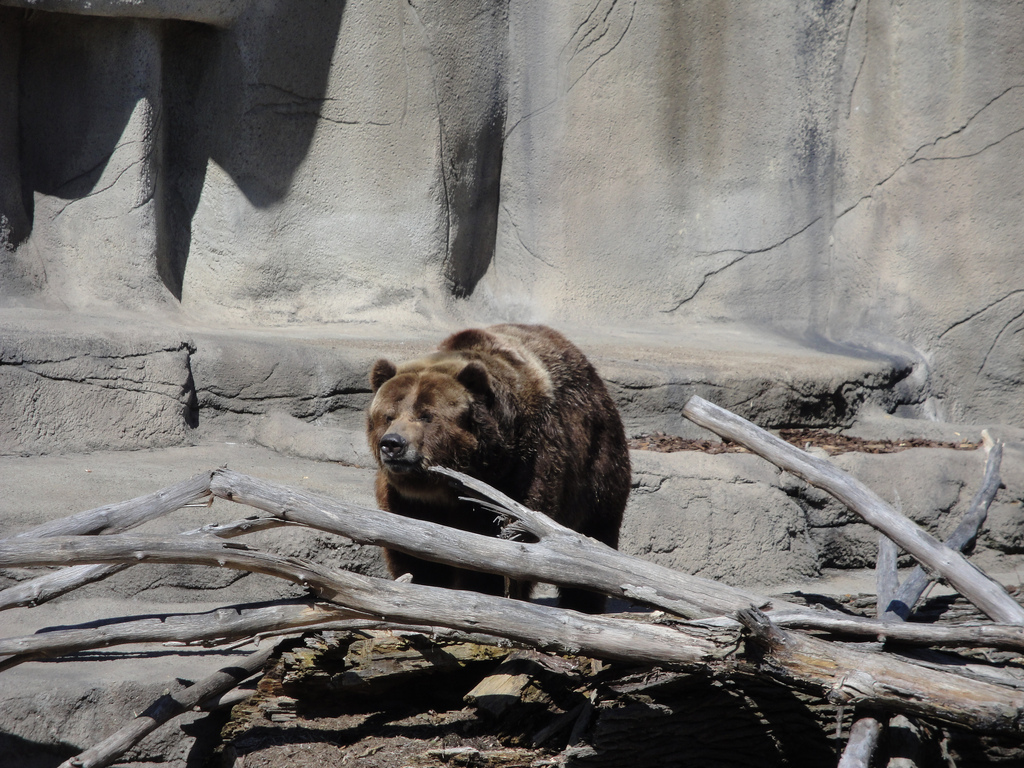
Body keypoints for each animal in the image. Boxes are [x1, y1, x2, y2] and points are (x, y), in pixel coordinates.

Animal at [366, 323, 631, 614]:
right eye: (388, 415)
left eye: (426, 415)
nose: (393, 444)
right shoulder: (406, 500)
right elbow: (412, 550)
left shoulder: (522, 471)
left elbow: (503, 542)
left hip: (597, 465)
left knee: (595, 530)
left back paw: (583, 604)